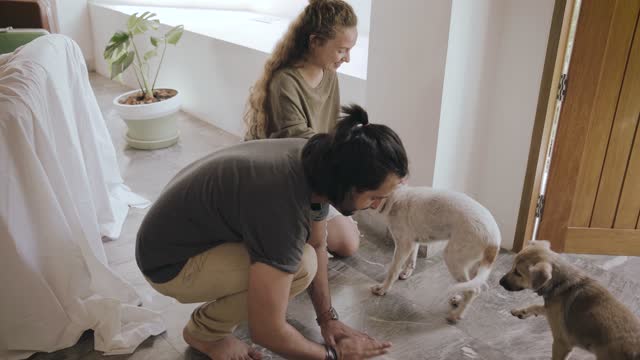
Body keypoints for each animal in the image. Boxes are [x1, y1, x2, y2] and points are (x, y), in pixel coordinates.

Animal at [370, 186, 500, 324]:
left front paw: (383, 289)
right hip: (472, 265)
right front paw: (406, 273)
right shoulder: (413, 242)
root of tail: (495, 240)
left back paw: (456, 315)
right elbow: (411, 260)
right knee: (474, 286)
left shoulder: (403, 244)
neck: (394, 197)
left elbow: (393, 270)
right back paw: (459, 301)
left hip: (452, 257)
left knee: (472, 290)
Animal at [500, 240, 640, 358]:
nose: (500, 282)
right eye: (512, 265)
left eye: (518, 273)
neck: (559, 282)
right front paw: (521, 311)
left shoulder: (561, 343)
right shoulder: (551, 310)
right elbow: (537, 306)